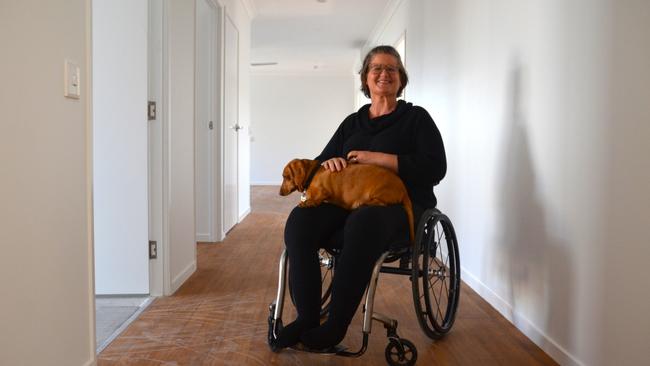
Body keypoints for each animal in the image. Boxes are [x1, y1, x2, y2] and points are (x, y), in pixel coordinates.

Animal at [280, 158, 416, 242]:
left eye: (286, 177)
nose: (280, 193)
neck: (313, 174)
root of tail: (404, 191)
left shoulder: (324, 192)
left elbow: (317, 199)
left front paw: (308, 202)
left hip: (379, 191)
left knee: (380, 203)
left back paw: (361, 203)